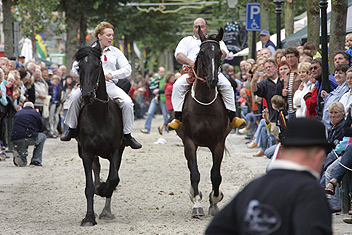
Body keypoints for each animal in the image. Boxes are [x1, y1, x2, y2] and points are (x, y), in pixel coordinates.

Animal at [73, 42, 124, 226]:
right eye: (79, 67)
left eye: (97, 66)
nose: (87, 95)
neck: (99, 115)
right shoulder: (87, 152)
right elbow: (89, 187)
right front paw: (89, 217)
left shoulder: (116, 150)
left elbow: (113, 179)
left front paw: (102, 190)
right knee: (96, 168)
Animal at [175, 27, 230, 218]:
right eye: (202, 53)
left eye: (219, 53)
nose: (212, 80)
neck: (205, 103)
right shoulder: (190, 142)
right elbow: (195, 173)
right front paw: (197, 204)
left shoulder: (218, 143)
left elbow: (216, 175)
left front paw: (214, 200)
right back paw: (194, 194)